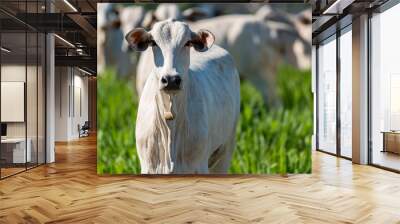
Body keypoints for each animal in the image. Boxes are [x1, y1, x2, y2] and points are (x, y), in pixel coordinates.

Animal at [127, 19, 241, 173]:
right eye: (153, 43)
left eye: (187, 43)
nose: (171, 79)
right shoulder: (148, 167)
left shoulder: (199, 165)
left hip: (226, 150)